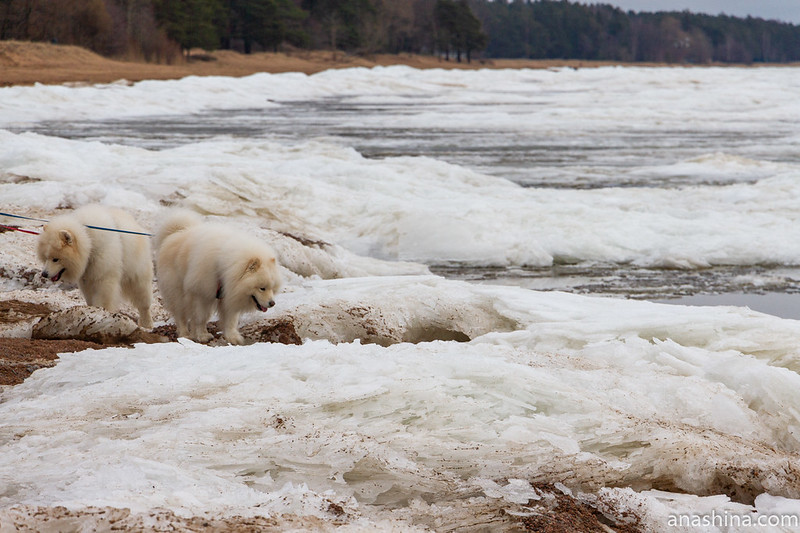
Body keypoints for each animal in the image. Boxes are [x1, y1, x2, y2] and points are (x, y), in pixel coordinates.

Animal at [155, 210, 282, 342]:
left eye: (272, 288)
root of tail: (175, 233)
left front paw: (233, 337)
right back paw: (185, 334)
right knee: (180, 315)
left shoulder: (229, 294)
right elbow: (201, 317)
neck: (223, 266)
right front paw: (203, 335)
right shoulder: (202, 293)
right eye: (262, 288)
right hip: (177, 291)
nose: (272, 303)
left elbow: (231, 319)